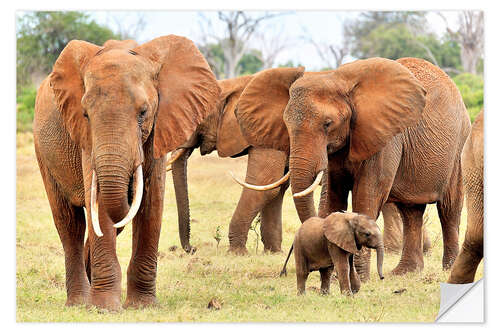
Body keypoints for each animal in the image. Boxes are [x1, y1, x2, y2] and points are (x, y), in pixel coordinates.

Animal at [31, 36, 219, 308]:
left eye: (143, 112)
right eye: (85, 114)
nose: (192, 249)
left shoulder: (158, 128)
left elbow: (151, 204)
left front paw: (143, 306)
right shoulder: (87, 139)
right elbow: (100, 202)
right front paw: (104, 308)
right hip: (43, 152)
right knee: (70, 224)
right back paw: (79, 302)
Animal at [165, 73, 288, 254]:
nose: (192, 249)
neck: (237, 84)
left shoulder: (268, 131)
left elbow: (264, 184)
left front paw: (237, 254)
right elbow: (276, 187)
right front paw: (274, 253)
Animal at [234, 58, 468, 276]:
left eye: (328, 124)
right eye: (286, 125)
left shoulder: (384, 137)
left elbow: (367, 196)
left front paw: (360, 277)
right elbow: (333, 196)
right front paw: (336, 275)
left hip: (458, 146)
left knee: (449, 209)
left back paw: (449, 269)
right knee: (411, 211)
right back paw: (405, 272)